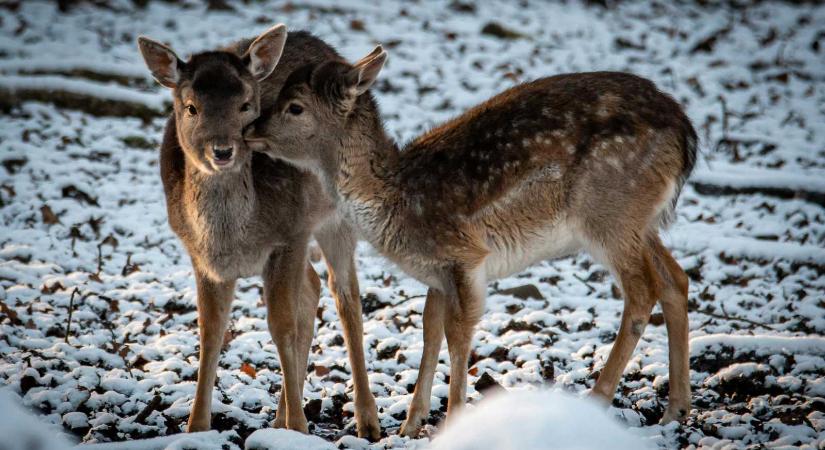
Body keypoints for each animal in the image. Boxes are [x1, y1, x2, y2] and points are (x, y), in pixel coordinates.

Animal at [137, 27, 382, 440]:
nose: (223, 150)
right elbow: (210, 332)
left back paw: (367, 420)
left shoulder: (291, 235)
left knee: (344, 296)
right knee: (313, 287)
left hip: (338, 216)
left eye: (245, 104)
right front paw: (196, 427)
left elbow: (282, 326)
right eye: (191, 107)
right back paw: (280, 416)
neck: (235, 239)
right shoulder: (200, 256)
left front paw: (299, 427)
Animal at [245, 46, 696, 436]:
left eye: (295, 106)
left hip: (609, 212)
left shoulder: (465, 255)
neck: (397, 201)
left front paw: (452, 417)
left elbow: (458, 333)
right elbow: (430, 327)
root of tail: (687, 136)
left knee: (642, 290)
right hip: (639, 220)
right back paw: (676, 408)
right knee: (676, 279)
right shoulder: (439, 270)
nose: (250, 129)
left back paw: (599, 398)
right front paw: (411, 423)